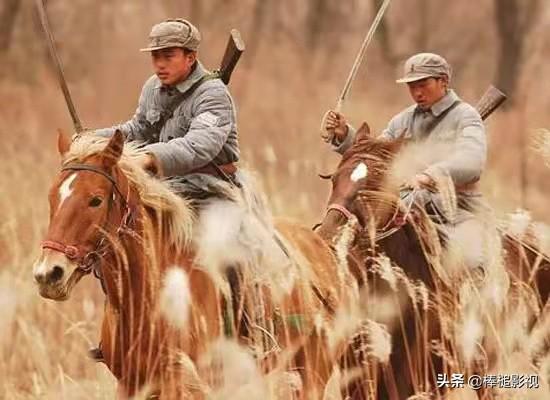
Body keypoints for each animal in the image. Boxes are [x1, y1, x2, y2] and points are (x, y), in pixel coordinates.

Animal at [33, 130, 354, 396]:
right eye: (51, 197)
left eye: (95, 200)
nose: (49, 273)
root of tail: (323, 247)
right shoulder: (131, 384)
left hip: (310, 375)